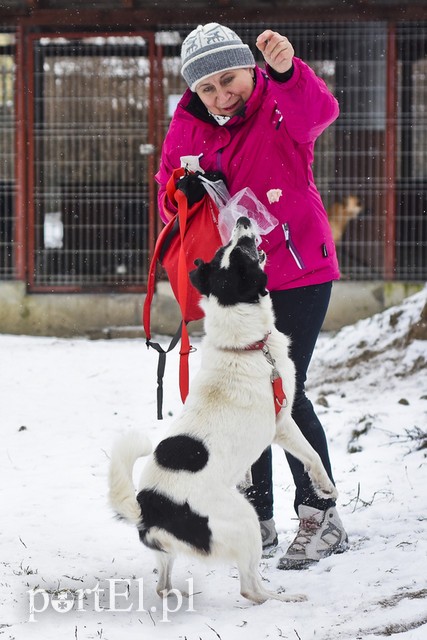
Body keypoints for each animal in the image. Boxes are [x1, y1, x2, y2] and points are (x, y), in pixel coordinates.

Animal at [109, 216, 338, 604]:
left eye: (222, 253)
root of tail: (150, 509)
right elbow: (312, 456)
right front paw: (327, 488)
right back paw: (283, 598)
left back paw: (178, 595)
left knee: (162, 584)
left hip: (169, 554)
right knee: (250, 590)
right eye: (239, 252)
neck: (245, 346)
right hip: (243, 521)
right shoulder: (282, 421)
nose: (243, 221)